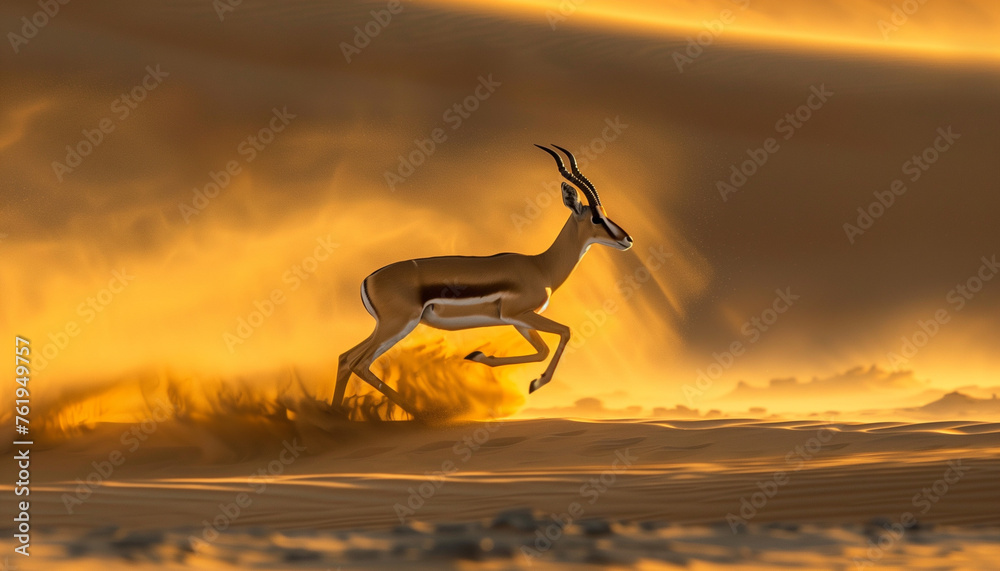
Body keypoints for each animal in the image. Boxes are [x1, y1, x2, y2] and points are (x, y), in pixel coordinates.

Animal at [333, 144, 633, 416]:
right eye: (596, 218)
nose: (627, 239)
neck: (541, 267)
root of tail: (367, 279)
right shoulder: (519, 314)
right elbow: (565, 332)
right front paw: (534, 383)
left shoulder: (518, 321)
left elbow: (543, 350)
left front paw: (479, 356)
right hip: (396, 326)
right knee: (359, 363)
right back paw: (421, 414)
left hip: (385, 327)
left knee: (345, 358)